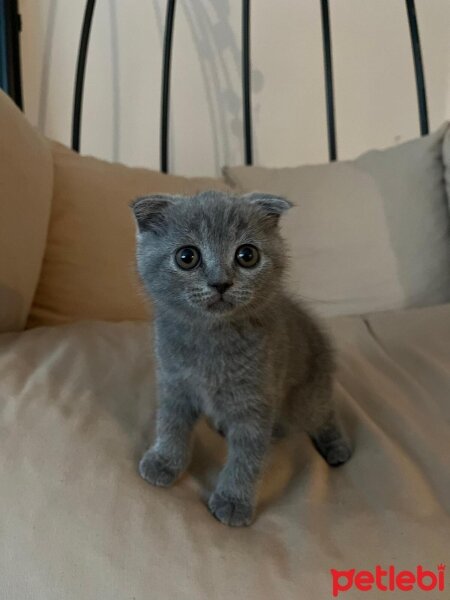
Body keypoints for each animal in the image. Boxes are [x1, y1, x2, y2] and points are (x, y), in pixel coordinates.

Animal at [130, 191, 352, 524]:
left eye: (247, 255)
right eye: (187, 257)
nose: (220, 282)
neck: (211, 339)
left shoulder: (256, 400)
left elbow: (247, 457)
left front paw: (233, 502)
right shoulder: (174, 382)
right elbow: (171, 424)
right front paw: (165, 461)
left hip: (307, 396)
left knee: (323, 414)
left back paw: (337, 447)